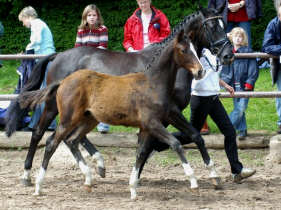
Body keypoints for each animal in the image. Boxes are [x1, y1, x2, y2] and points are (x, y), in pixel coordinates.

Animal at [19, 30, 217, 199]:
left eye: (195, 49)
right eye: (184, 50)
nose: (200, 71)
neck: (153, 83)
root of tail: (63, 81)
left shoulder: (148, 126)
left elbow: (141, 152)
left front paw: (133, 189)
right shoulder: (153, 123)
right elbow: (176, 143)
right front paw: (193, 181)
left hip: (88, 120)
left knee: (72, 140)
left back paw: (89, 178)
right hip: (67, 118)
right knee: (50, 141)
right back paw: (37, 184)